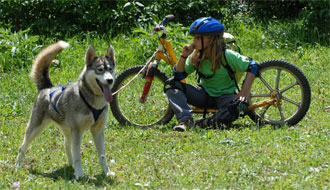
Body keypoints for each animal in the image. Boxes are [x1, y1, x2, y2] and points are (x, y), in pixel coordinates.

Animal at [16, 40, 116, 179]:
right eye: (100, 70)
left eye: (110, 69)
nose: (110, 80)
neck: (91, 100)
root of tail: (46, 87)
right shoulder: (77, 131)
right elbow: (78, 155)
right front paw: (80, 174)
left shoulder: (98, 130)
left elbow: (102, 155)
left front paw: (106, 172)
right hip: (35, 129)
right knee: (23, 146)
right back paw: (17, 165)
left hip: (68, 131)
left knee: (66, 146)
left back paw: (71, 165)